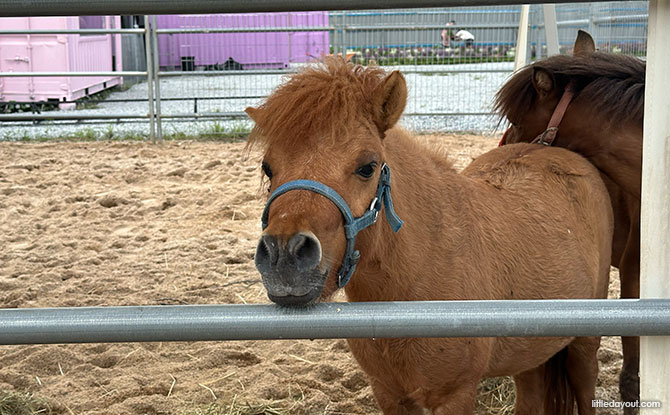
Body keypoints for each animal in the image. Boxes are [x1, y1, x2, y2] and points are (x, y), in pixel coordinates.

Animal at [246, 57, 613, 414]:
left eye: (367, 167)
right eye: (268, 167)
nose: (284, 254)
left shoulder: (454, 395)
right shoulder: (389, 393)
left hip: (584, 345)